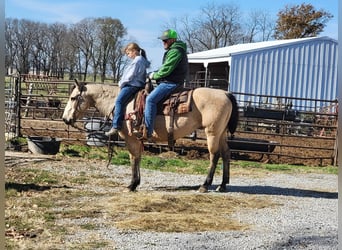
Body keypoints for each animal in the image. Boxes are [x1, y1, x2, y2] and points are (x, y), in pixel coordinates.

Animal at [62, 81, 238, 192]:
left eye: (73, 98)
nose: (65, 119)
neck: (124, 104)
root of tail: (225, 93)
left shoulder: (131, 138)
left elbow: (133, 158)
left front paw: (132, 185)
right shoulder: (138, 139)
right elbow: (138, 158)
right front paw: (136, 182)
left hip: (212, 133)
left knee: (214, 156)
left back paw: (205, 185)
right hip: (221, 133)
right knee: (226, 154)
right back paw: (222, 185)